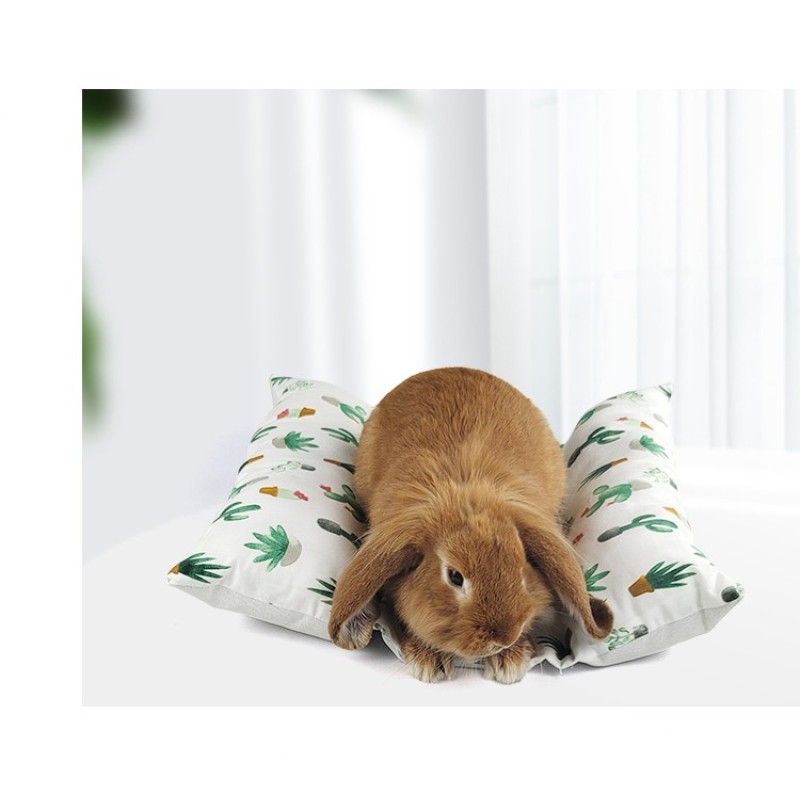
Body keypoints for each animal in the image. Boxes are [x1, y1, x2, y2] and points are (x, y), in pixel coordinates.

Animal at [327, 367, 613, 683]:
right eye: (454, 576)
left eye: (522, 566)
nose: (503, 637)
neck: (464, 496)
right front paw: (428, 662)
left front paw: (510, 661)